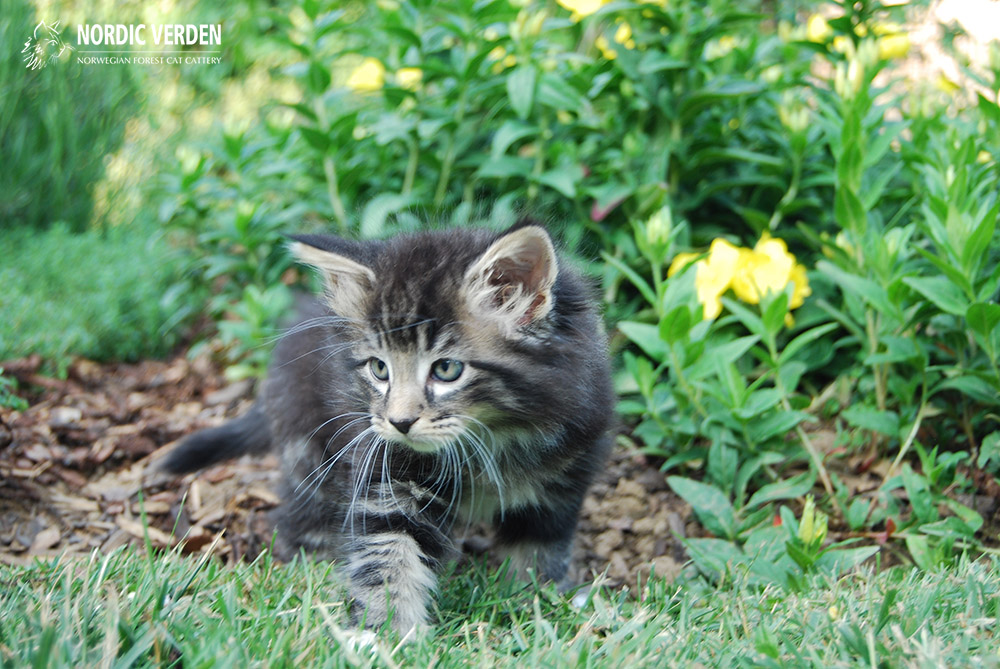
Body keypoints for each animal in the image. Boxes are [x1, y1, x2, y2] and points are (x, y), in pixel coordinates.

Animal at [157, 220, 614, 635]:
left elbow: (539, 551)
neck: (491, 439)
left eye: (446, 369)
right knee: (296, 511)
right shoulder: (386, 472)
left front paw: (533, 603)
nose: (400, 421)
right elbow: (390, 554)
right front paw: (388, 635)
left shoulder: (562, 480)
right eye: (379, 369)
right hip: (309, 443)